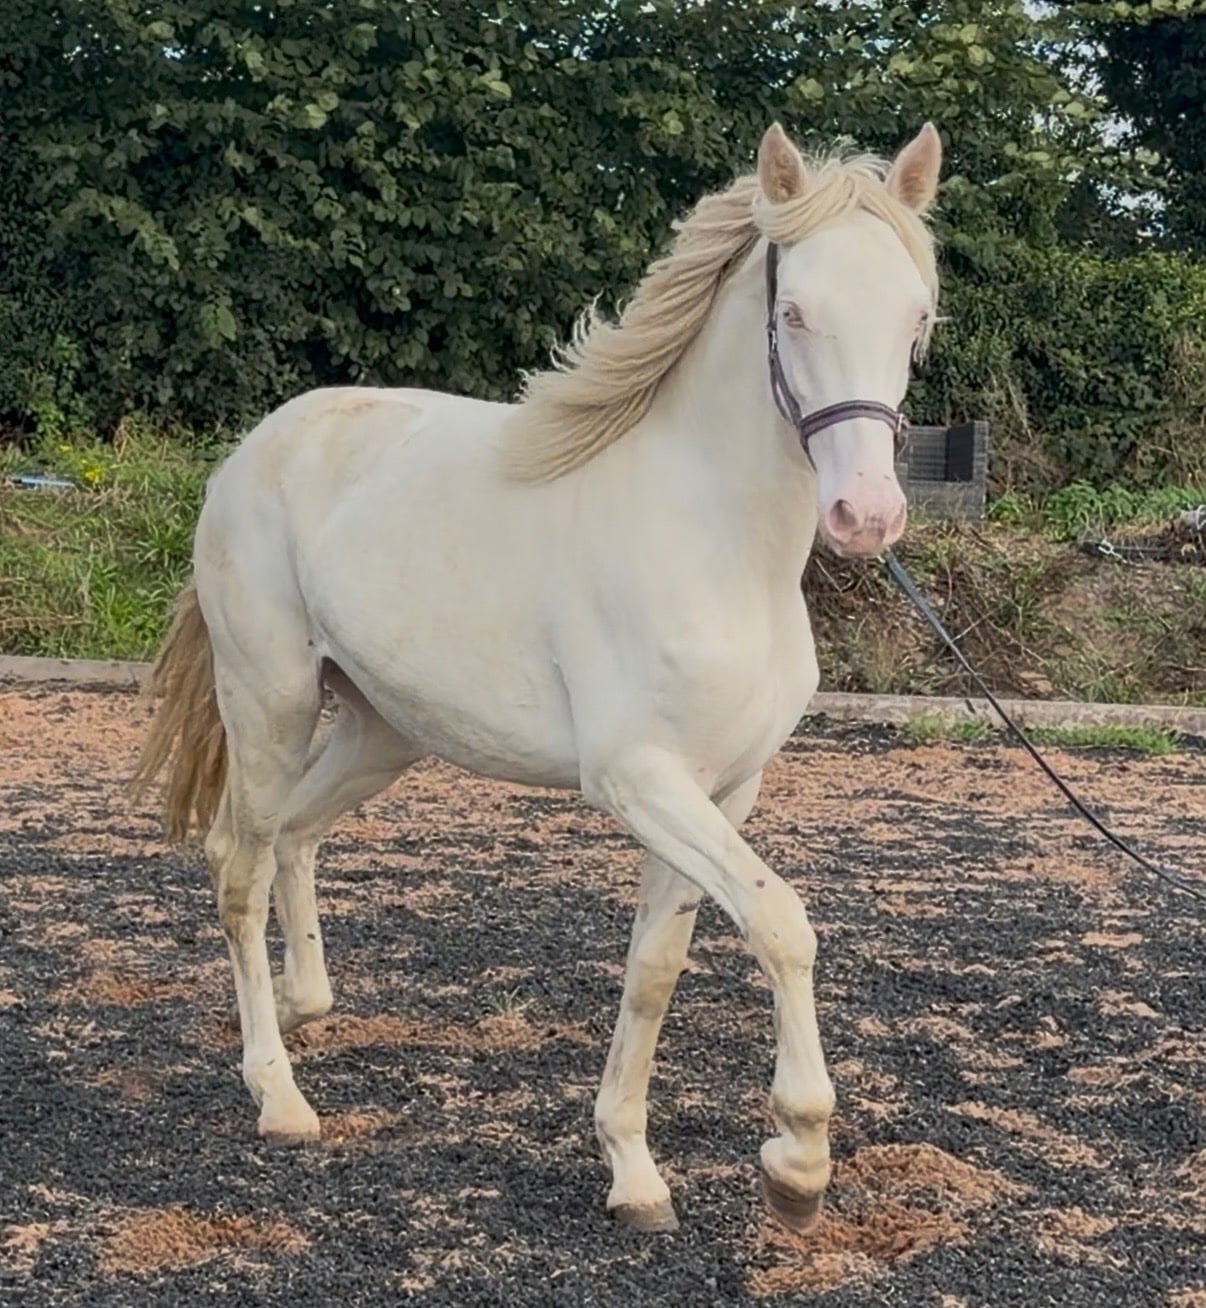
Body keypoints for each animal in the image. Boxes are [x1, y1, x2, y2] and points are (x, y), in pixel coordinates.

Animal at [132, 120, 943, 1234]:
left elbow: (655, 969)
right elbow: (782, 925)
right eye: (794, 311)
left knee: (295, 837)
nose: (866, 515)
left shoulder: (723, 789)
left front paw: (634, 1170)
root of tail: (249, 453)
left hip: (382, 730)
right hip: (272, 705)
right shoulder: (639, 779)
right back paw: (279, 1095)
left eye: (916, 319)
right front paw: (797, 1162)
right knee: (238, 867)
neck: (716, 542)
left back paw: (308, 1007)